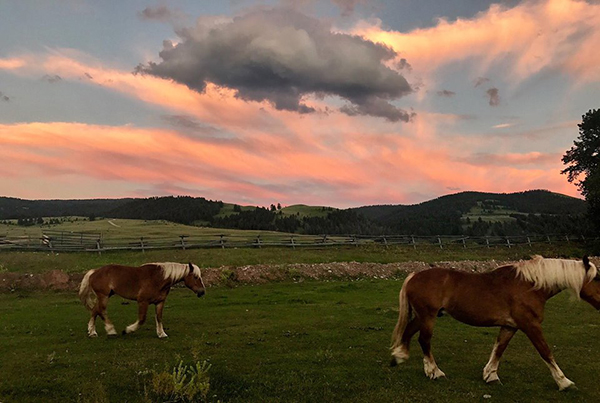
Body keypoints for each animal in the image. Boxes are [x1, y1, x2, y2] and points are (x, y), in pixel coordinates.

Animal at [390, 256, 600, 392]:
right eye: (597, 278)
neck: (530, 286)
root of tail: (414, 276)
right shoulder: (530, 325)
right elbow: (545, 352)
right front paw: (564, 382)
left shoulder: (510, 326)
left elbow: (499, 348)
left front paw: (490, 375)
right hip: (428, 317)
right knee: (424, 340)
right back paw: (435, 372)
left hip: (423, 316)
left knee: (409, 332)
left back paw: (399, 358)